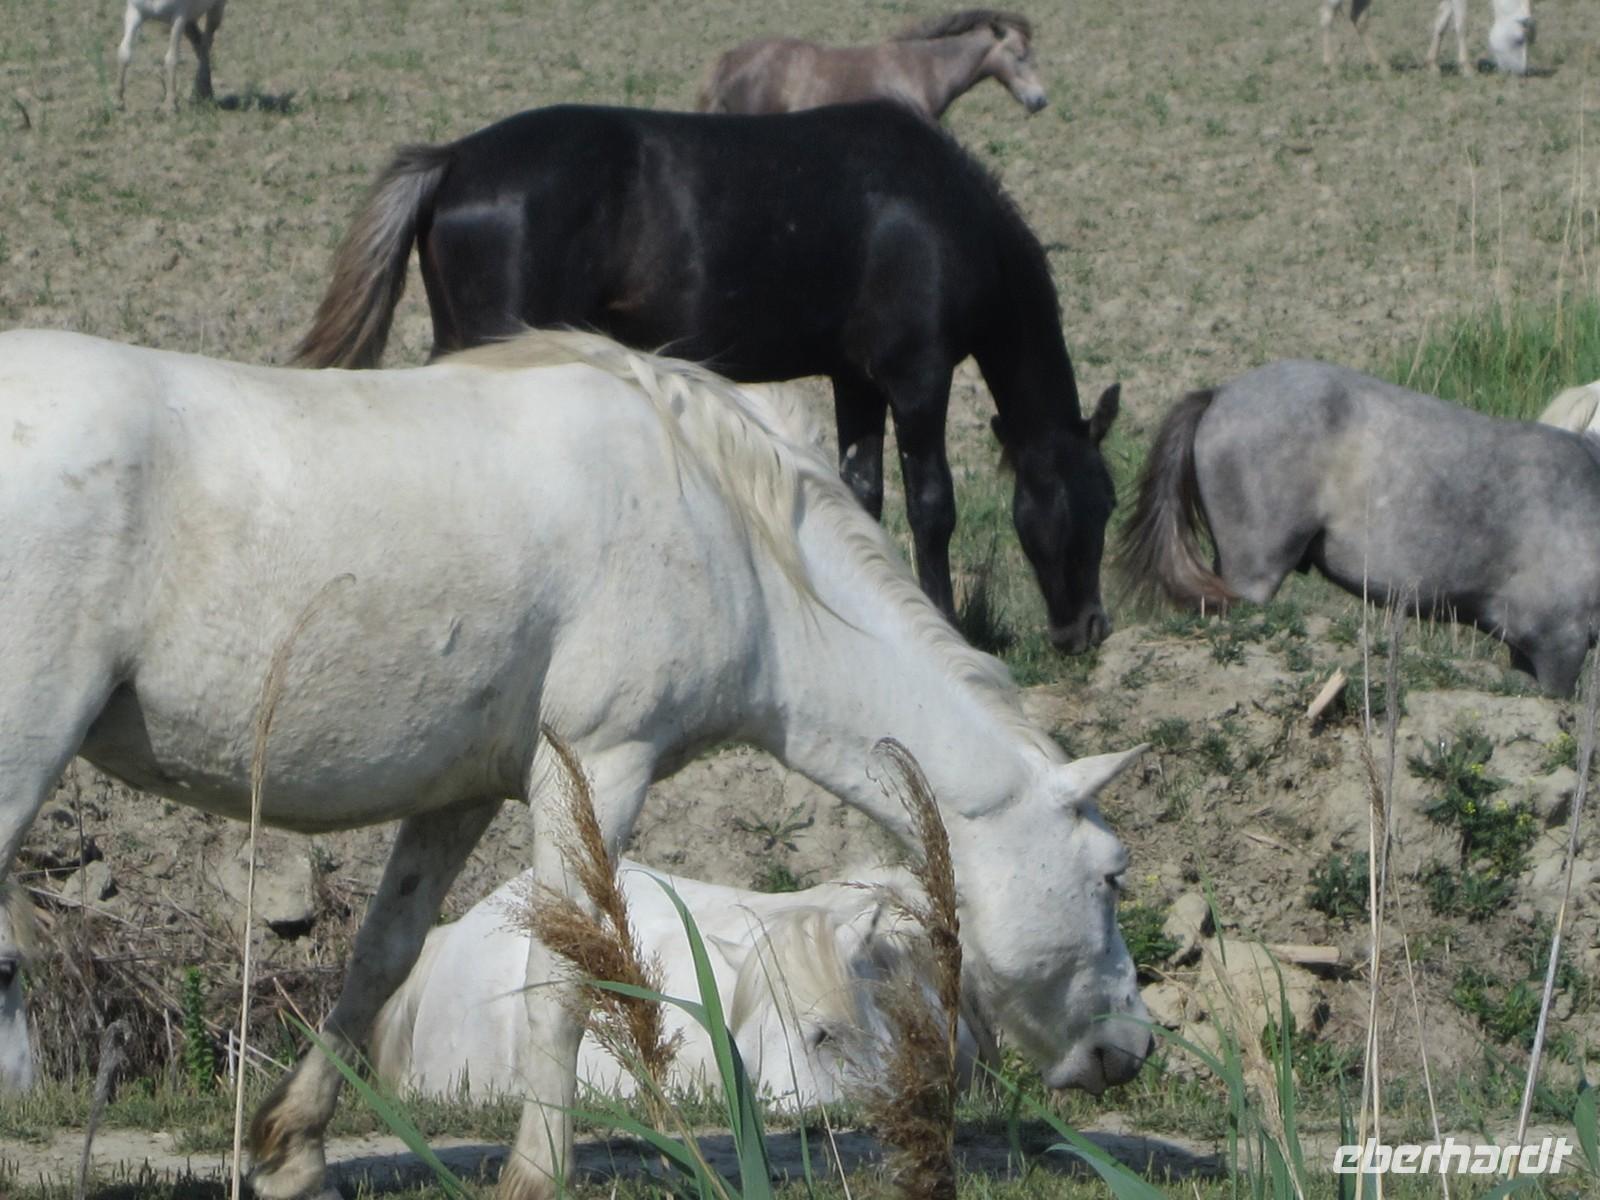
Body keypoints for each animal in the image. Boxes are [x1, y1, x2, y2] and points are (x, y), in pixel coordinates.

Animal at [291, 101, 1120, 652]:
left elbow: (863, 493)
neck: (938, 214)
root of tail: (455, 161)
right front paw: (945, 626)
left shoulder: (856, 382)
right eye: (1101, 503)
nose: (1088, 630)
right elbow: (932, 508)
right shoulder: (917, 380)